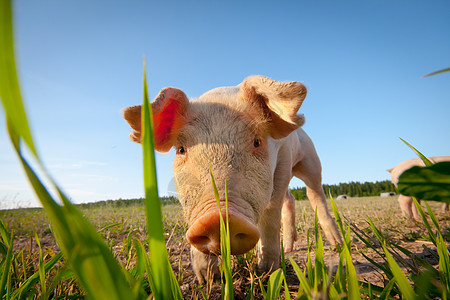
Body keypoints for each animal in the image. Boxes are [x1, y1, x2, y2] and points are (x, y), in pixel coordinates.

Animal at [123, 75, 342, 284]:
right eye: (181, 150)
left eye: (257, 142)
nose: (217, 218)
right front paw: (208, 279)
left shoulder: (284, 158)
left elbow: (270, 215)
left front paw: (268, 272)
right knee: (291, 199)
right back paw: (288, 249)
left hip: (310, 161)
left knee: (314, 193)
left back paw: (337, 243)